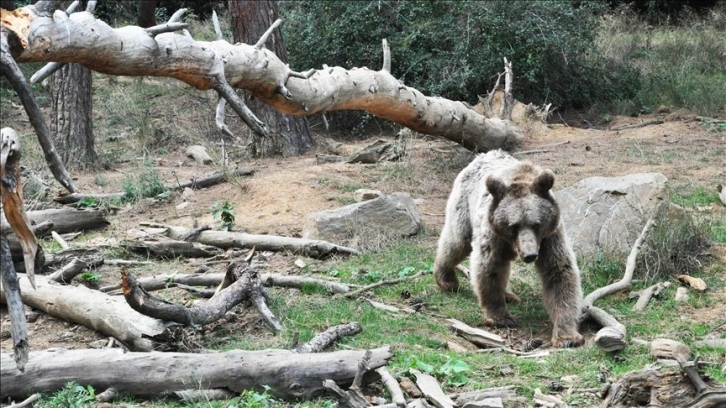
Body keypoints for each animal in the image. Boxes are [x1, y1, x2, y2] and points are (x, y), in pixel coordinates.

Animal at [438, 150, 584, 348]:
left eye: (536, 224)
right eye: (514, 225)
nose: (530, 255)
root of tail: (481, 155)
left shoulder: (550, 237)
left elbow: (559, 273)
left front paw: (567, 336)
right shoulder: (494, 234)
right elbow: (489, 267)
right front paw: (500, 317)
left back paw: (508, 295)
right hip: (465, 205)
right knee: (456, 241)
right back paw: (446, 279)